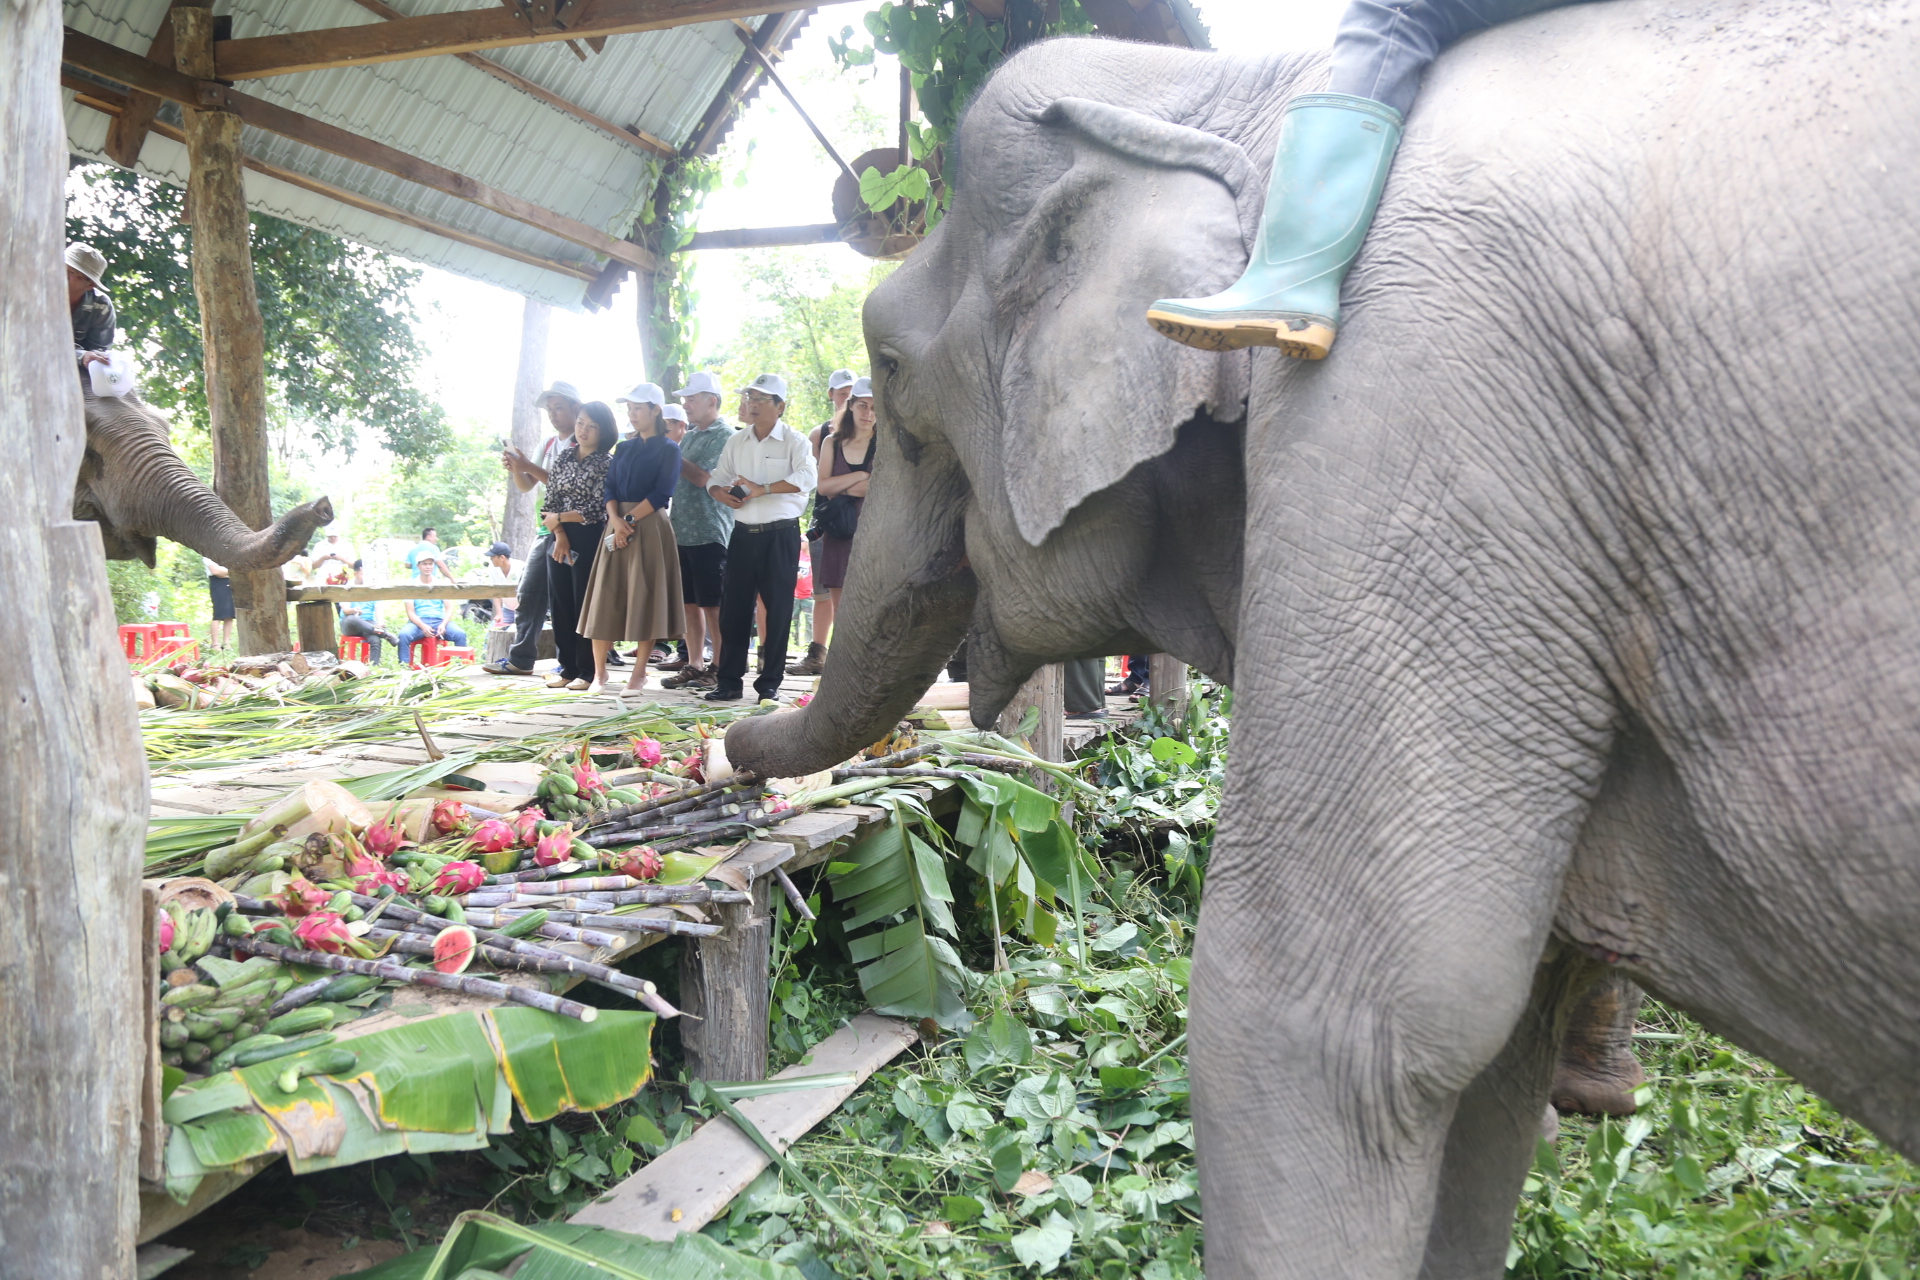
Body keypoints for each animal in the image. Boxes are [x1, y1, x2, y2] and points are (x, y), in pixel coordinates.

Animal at [725, 5, 1920, 1274]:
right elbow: (1493, 1051)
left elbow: (1328, 1025)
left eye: (891, 371)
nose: (725, 759)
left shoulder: (1417, 424)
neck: (1248, 90)